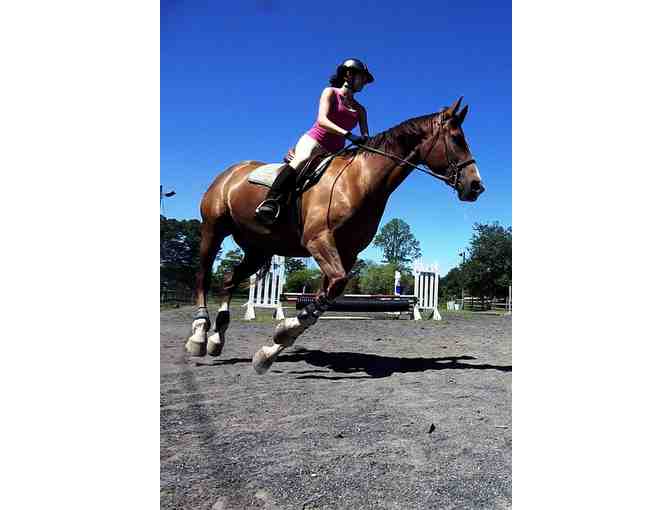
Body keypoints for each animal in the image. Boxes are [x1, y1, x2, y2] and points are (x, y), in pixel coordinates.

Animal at [185, 97, 485, 374]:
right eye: (457, 139)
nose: (476, 186)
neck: (360, 180)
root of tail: (231, 172)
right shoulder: (318, 240)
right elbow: (332, 289)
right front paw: (280, 336)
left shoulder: (346, 253)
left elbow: (325, 298)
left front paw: (272, 348)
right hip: (213, 230)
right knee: (202, 277)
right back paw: (199, 335)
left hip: (257, 249)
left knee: (228, 280)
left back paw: (216, 339)